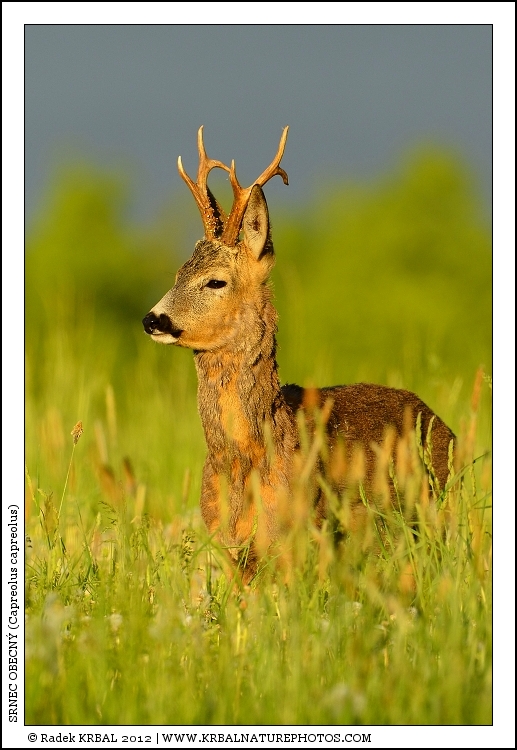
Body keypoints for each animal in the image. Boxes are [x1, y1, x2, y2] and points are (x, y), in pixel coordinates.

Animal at [142, 127, 455, 584]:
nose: (152, 319)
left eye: (215, 281)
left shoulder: (297, 536)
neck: (247, 459)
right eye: (179, 273)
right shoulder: (228, 547)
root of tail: (445, 425)